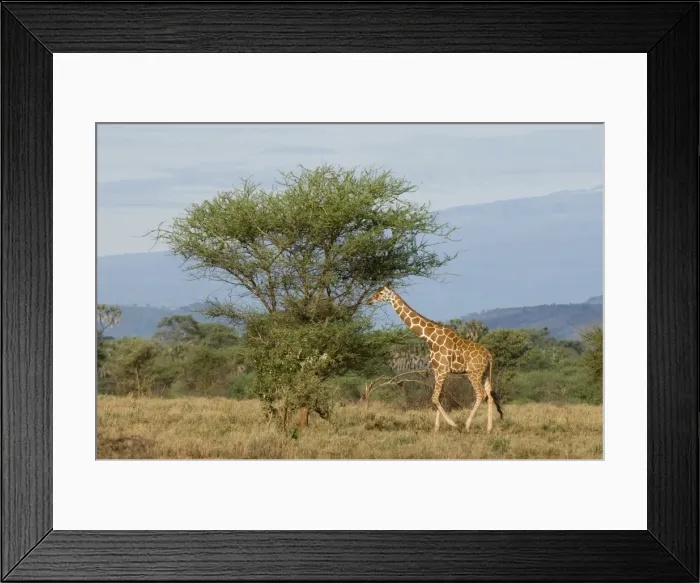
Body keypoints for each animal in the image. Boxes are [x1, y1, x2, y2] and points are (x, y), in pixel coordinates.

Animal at [369, 283, 504, 433]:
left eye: (381, 293)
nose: (369, 300)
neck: (430, 338)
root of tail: (489, 356)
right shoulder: (437, 369)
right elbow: (439, 396)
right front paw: (437, 427)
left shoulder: (443, 369)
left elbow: (434, 397)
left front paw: (452, 424)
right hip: (485, 374)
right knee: (490, 396)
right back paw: (489, 428)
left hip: (473, 373)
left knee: (481, 394)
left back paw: (467, 425)